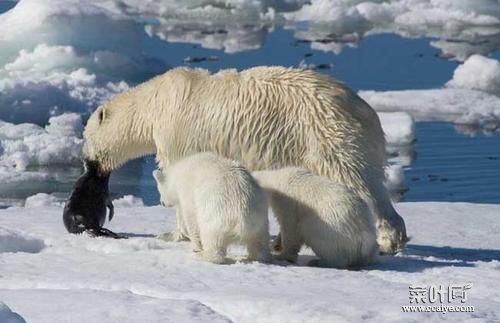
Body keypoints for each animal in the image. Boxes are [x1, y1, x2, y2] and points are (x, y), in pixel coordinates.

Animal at [82, 66, 408, 256]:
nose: (87, 164)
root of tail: (367, 111)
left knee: (358, 181)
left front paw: (173, 234)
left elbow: (181, 182)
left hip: (328, 135)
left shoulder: (177, 136)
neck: (156, 103)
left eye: (84, 140)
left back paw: (386, 242)